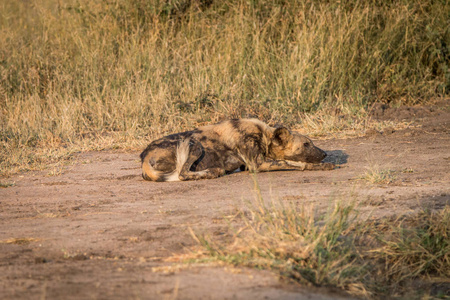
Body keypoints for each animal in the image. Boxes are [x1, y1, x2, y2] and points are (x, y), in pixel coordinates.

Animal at [141, 119, 334, 180]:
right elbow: (294, 163)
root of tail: (145, 157)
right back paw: (213, 172)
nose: (324, 153)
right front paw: (325, 166)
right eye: (306, 144)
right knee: (182, 174)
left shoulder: (248, 165)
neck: (264, 136)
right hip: (193, 144)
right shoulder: (257, 165)